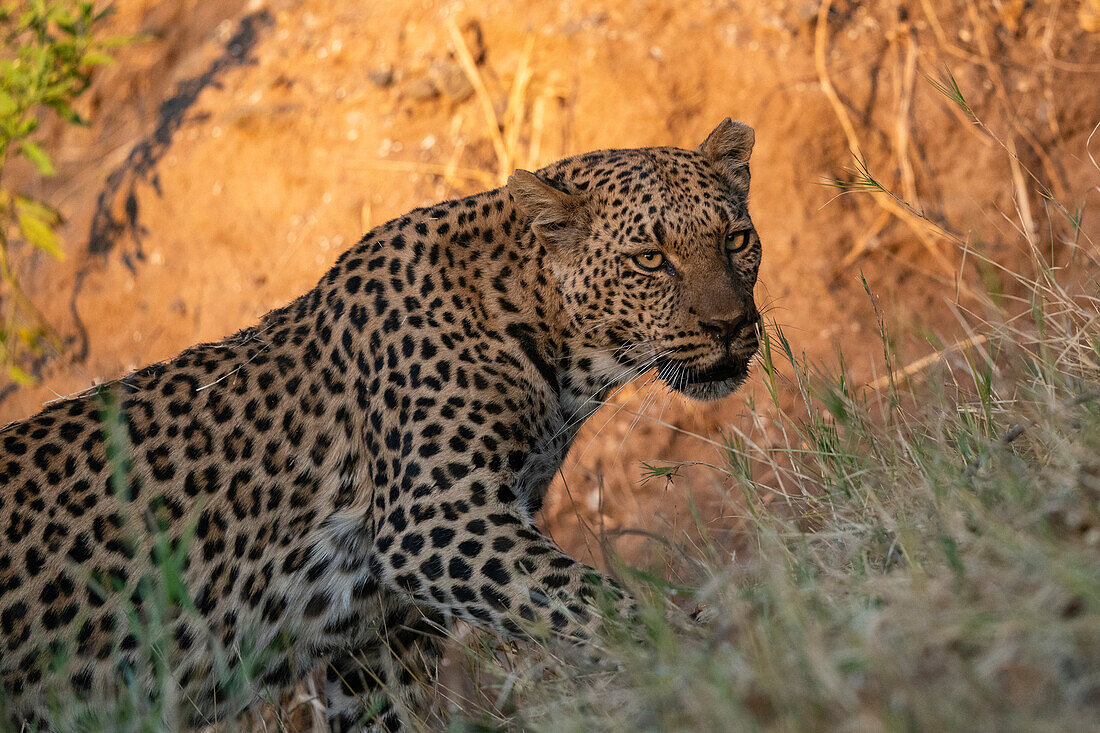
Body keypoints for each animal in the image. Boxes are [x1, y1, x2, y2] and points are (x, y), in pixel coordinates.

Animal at [0, 117, 761, 726]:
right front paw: (696, 652)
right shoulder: (434, 518)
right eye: (650, 259)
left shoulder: (380, 630)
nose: (731, 325)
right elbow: (588, 598)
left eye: (737, 240)